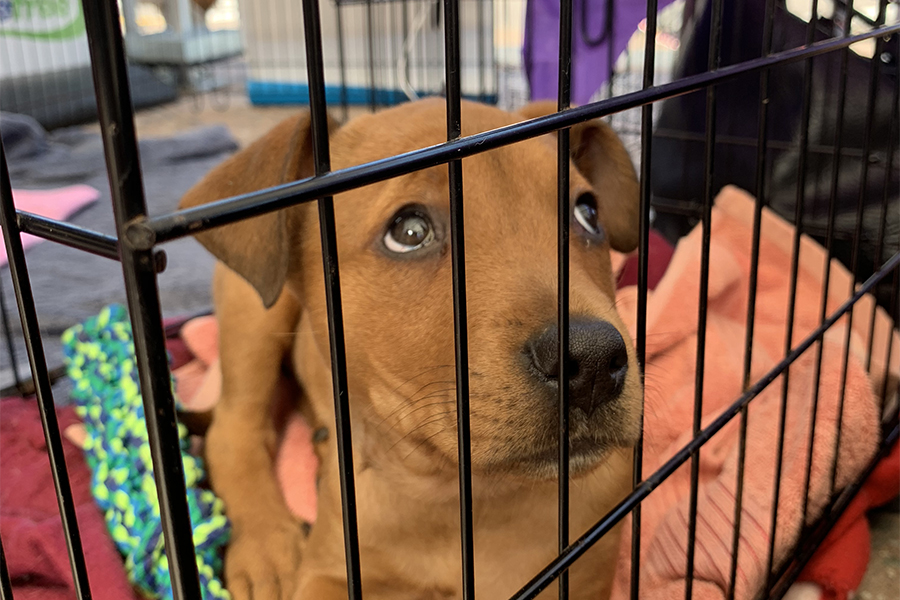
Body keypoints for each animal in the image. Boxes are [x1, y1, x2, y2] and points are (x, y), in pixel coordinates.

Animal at [183, 99, 644, 600]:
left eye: (588, 213)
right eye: (409, 232)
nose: (594, 361)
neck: (459, 498)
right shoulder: (329, 572)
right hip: (254, 312)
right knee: (233, 426)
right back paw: (266, 547)